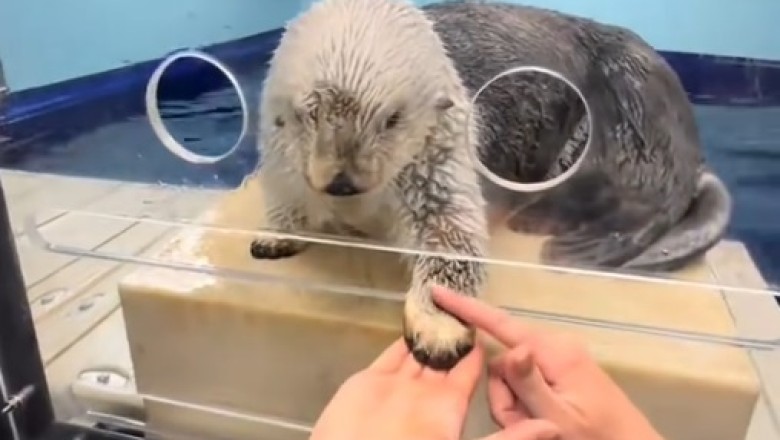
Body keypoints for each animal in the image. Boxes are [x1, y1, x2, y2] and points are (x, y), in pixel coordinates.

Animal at [250, 0, 488, 370]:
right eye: (308, 116)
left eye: (392, 119)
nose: (342, 181)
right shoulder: (280, 157)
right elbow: (286, 197)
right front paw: (275, 236)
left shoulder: (435, 163)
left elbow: (450, 234)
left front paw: (437, 325)